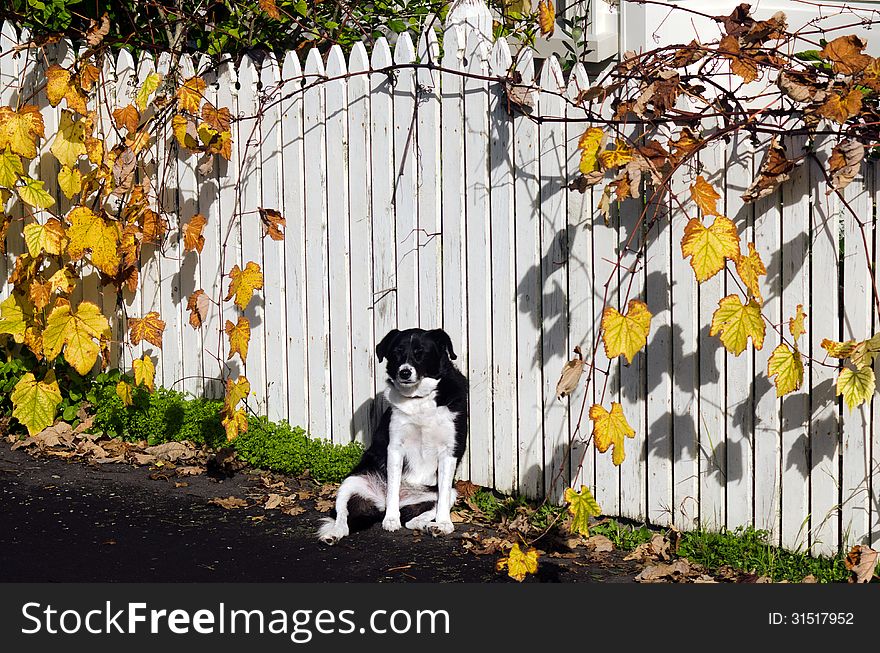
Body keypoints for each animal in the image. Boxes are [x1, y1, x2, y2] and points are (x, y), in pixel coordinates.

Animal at [316, 326, 468, 544]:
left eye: (420, 352)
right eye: (396, 352)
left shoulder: (449, 452)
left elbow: (443, 496)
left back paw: (427, 525)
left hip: (447, 494)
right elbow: (393, 488)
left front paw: (444, 524)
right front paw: (391, 520)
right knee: (343, 519)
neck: (418, 399)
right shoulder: (395, 447)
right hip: (351, 483)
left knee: (416, 518)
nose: (404, 372)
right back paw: (334, 534)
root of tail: (380, 505)